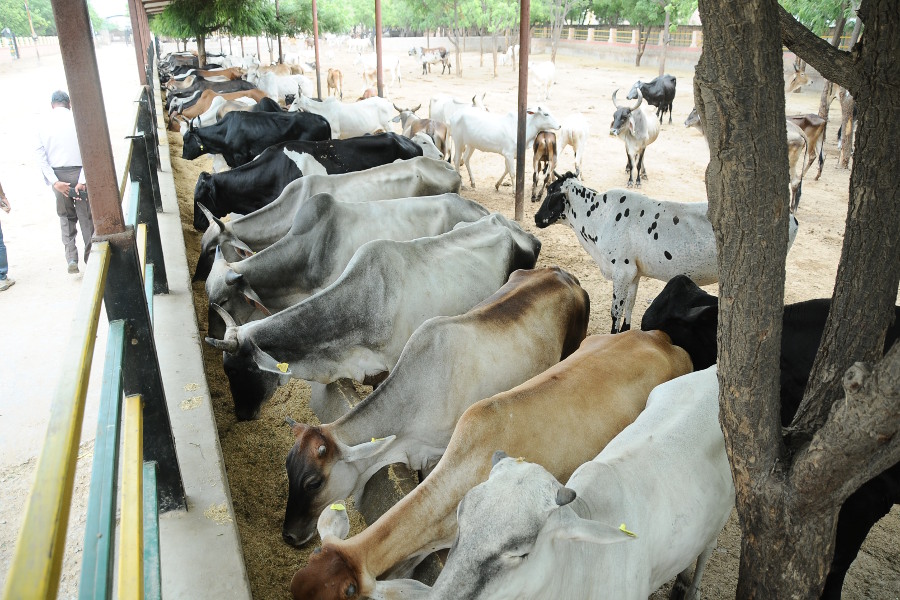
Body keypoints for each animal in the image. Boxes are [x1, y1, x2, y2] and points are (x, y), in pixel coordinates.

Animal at [535, 174, 800, 333]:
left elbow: (615, 310)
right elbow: (629, 306)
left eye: (550, 192)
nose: (537, 218)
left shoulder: (622, 270)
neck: (598, 216)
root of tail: (792, 218)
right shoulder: (634, 272)